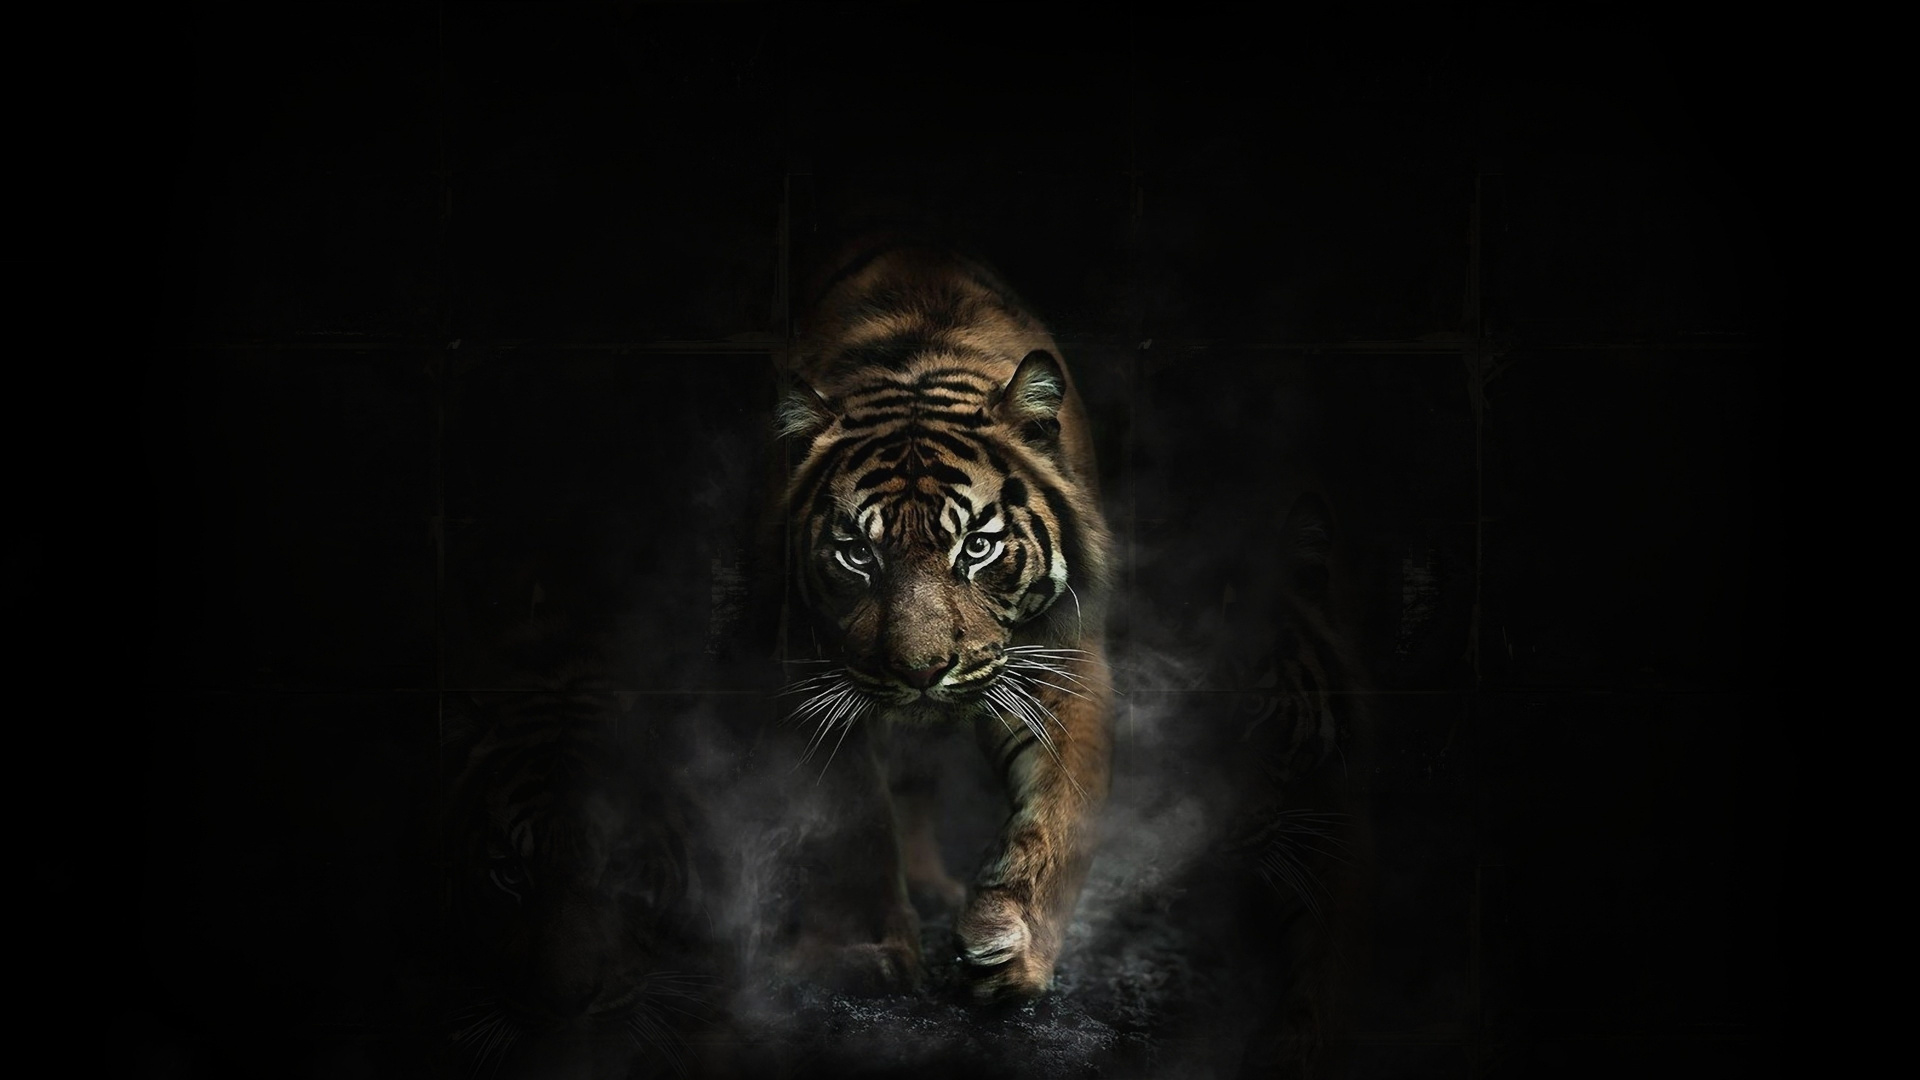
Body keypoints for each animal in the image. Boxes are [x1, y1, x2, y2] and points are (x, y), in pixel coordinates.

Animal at [762, 235, 1117, 1003]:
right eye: (858, 554)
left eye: (976, 547)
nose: (922, 671)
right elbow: (855, 818)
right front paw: (868, 952)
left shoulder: (1064, 659)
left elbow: (1060, 812)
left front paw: (1011, 946)